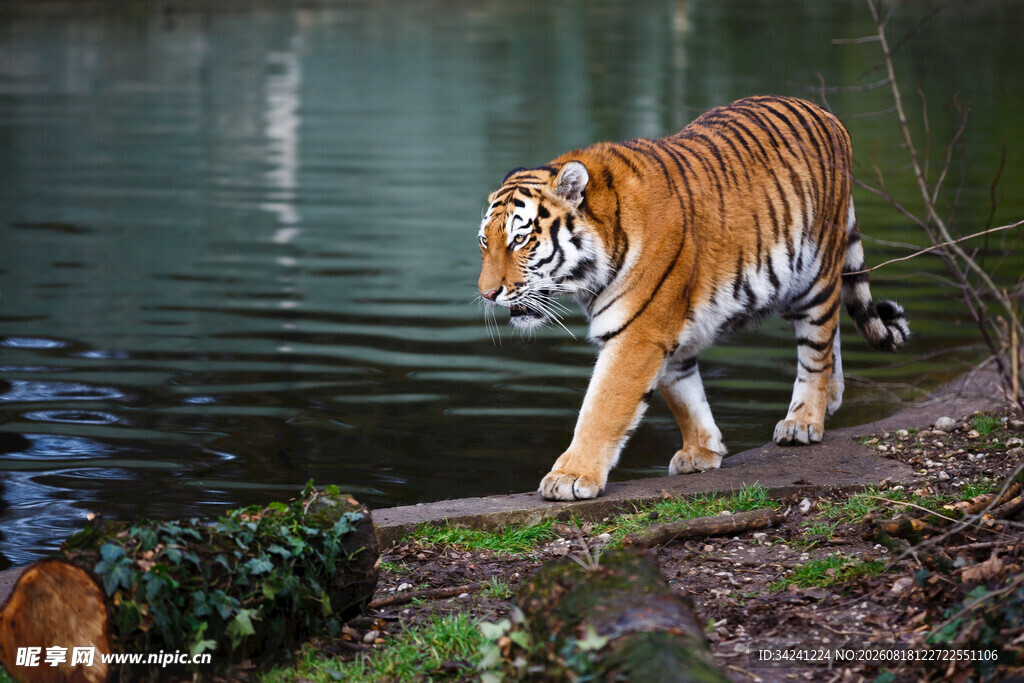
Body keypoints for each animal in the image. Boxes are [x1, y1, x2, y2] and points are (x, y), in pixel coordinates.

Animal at [476, 95, 909, 501]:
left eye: (520, 239)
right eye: (485, 241)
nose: (487, 293)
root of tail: (825, 113)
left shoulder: (639, 333)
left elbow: (603, 408)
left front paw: (569, 477)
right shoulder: (667, 331)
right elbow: (684, 393)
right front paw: (702, 451)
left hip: (814, 275)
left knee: (817, 345)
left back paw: (803, 423)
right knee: (832, 331)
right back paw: (831, 398)